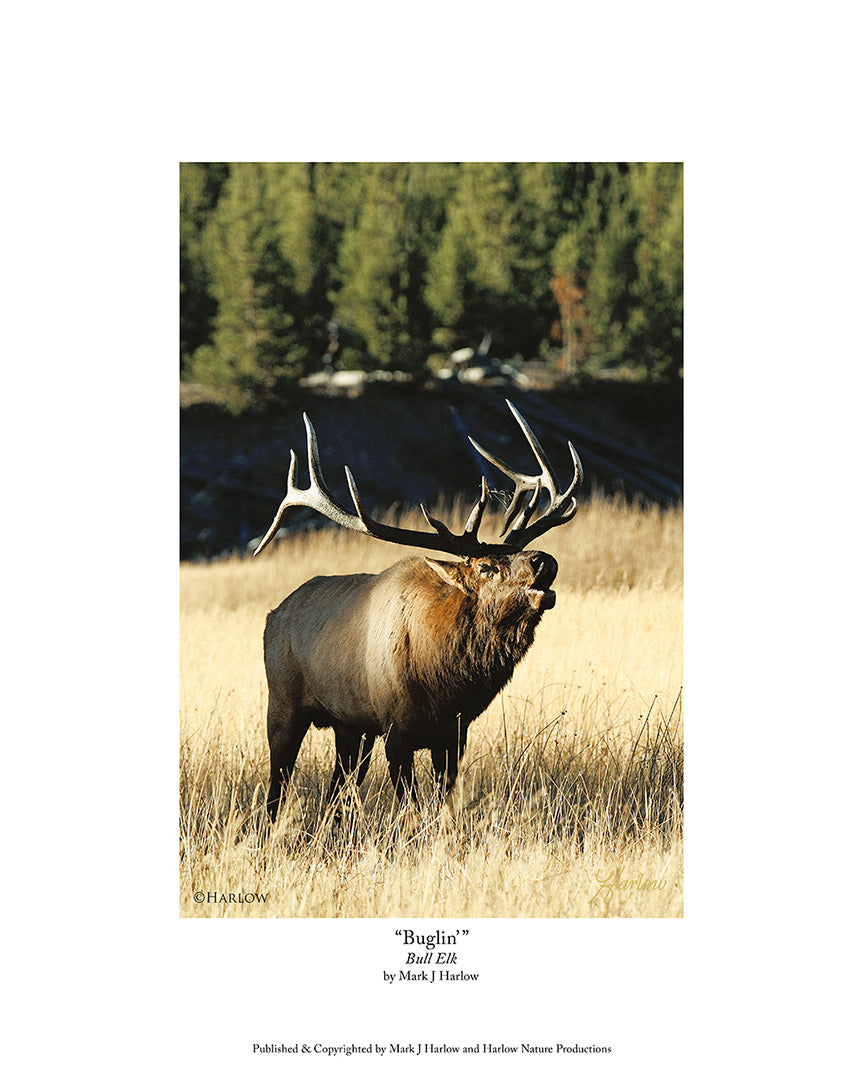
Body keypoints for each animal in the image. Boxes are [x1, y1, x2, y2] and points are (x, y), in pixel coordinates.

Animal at [254, 400, 582, 824]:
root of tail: (273, 616)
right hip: (283, 702)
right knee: (277, 786)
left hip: (350, 726)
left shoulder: (453, 734)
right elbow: (412, 809)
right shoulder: (397, 730)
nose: (544, 560)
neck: (449, 682)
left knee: (337, 790)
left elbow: (443, 803)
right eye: (486, 567)